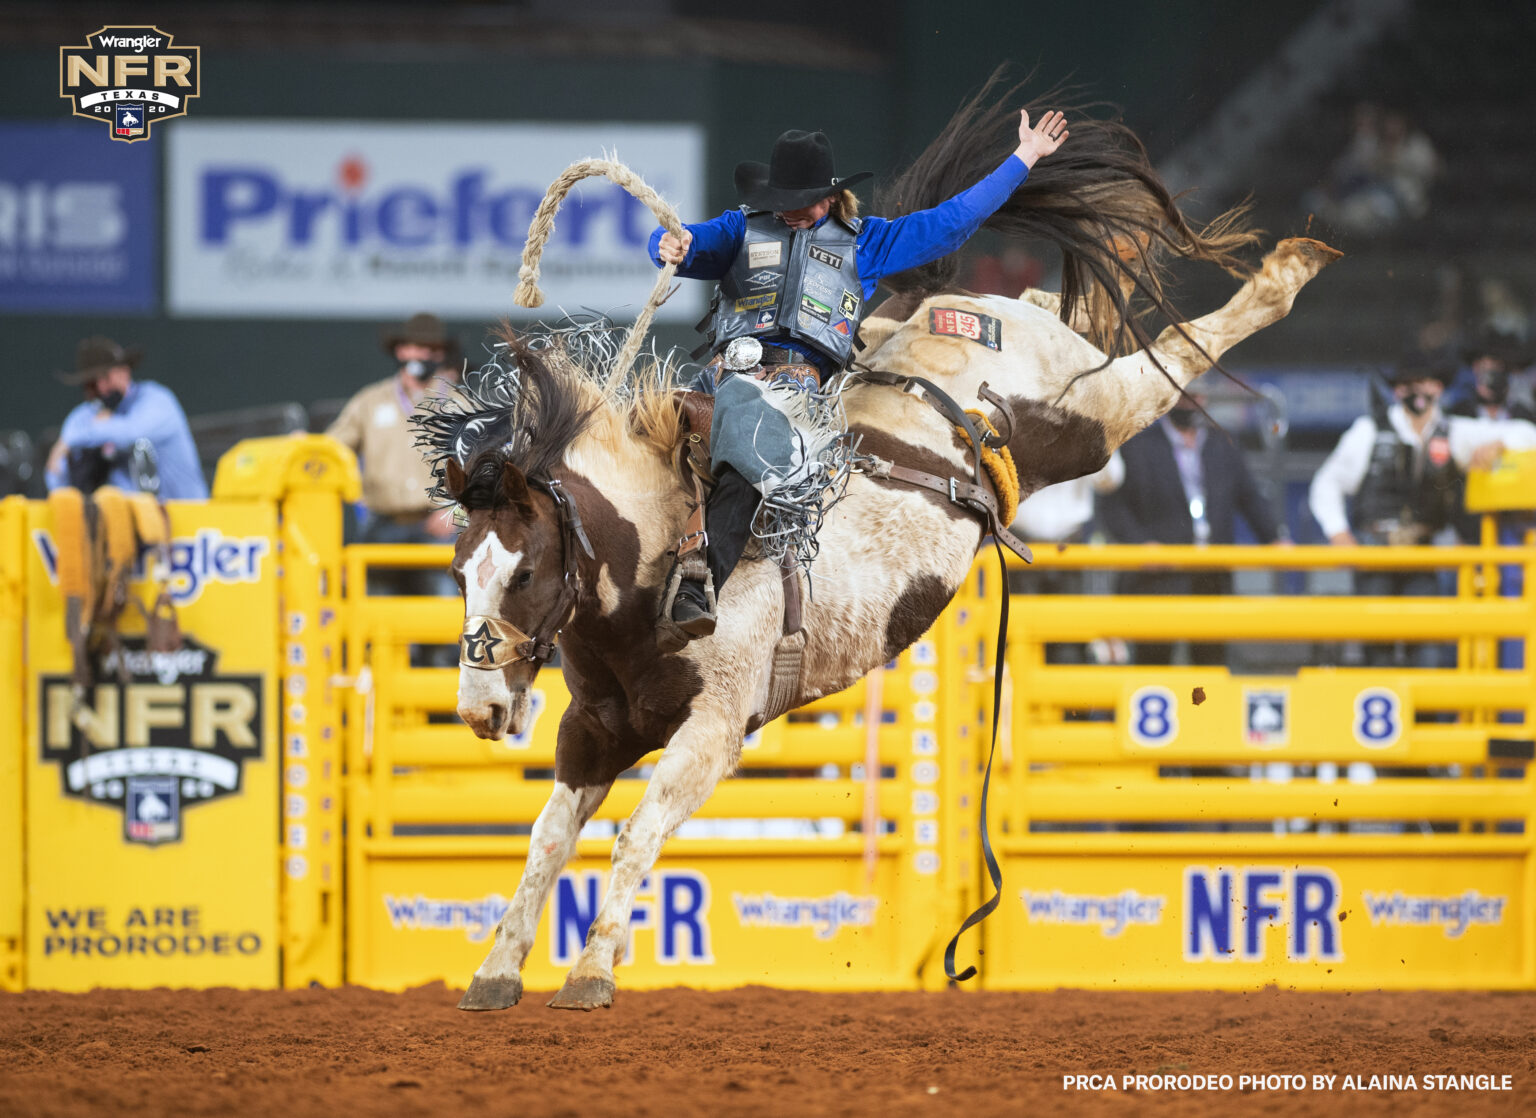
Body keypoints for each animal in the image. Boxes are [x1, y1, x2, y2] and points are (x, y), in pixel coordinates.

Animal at [414, 74, 1339, 1007]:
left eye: (526, 572)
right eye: (459, 573)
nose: (478, 710)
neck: (656, 571)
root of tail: (962, 315)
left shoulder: (714, 729)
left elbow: (637, 833)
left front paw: (592, 972)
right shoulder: (593, 730)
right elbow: (546, 841)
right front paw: (495, 971)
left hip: (1093, 418)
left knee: (1169, 355)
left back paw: (1290, 267)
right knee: (1070, 311)